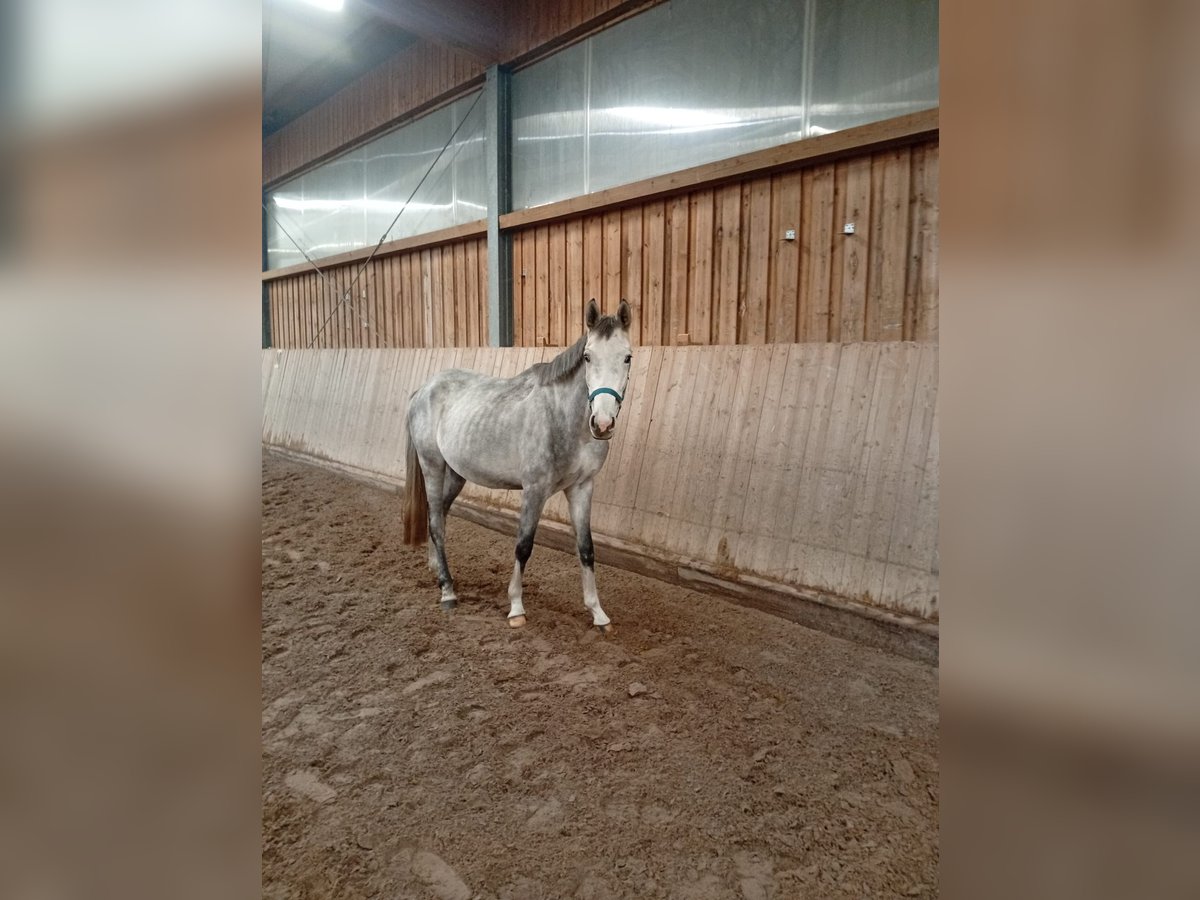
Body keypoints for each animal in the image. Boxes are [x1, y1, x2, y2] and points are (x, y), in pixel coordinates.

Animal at [402, 298, 633, 632]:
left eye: (627, 357)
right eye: (588, 357)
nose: (602, 424)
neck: (561, 417)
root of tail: (424, 388)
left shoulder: (581, 488)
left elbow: (587, 549)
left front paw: (597, 613)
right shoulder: (534, 490)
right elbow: (523, 546)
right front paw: (515, 608)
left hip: (456, 473)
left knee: (440, 516)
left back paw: (436, 568)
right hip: (432, 465)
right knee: (435, 523)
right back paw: (447, 590)